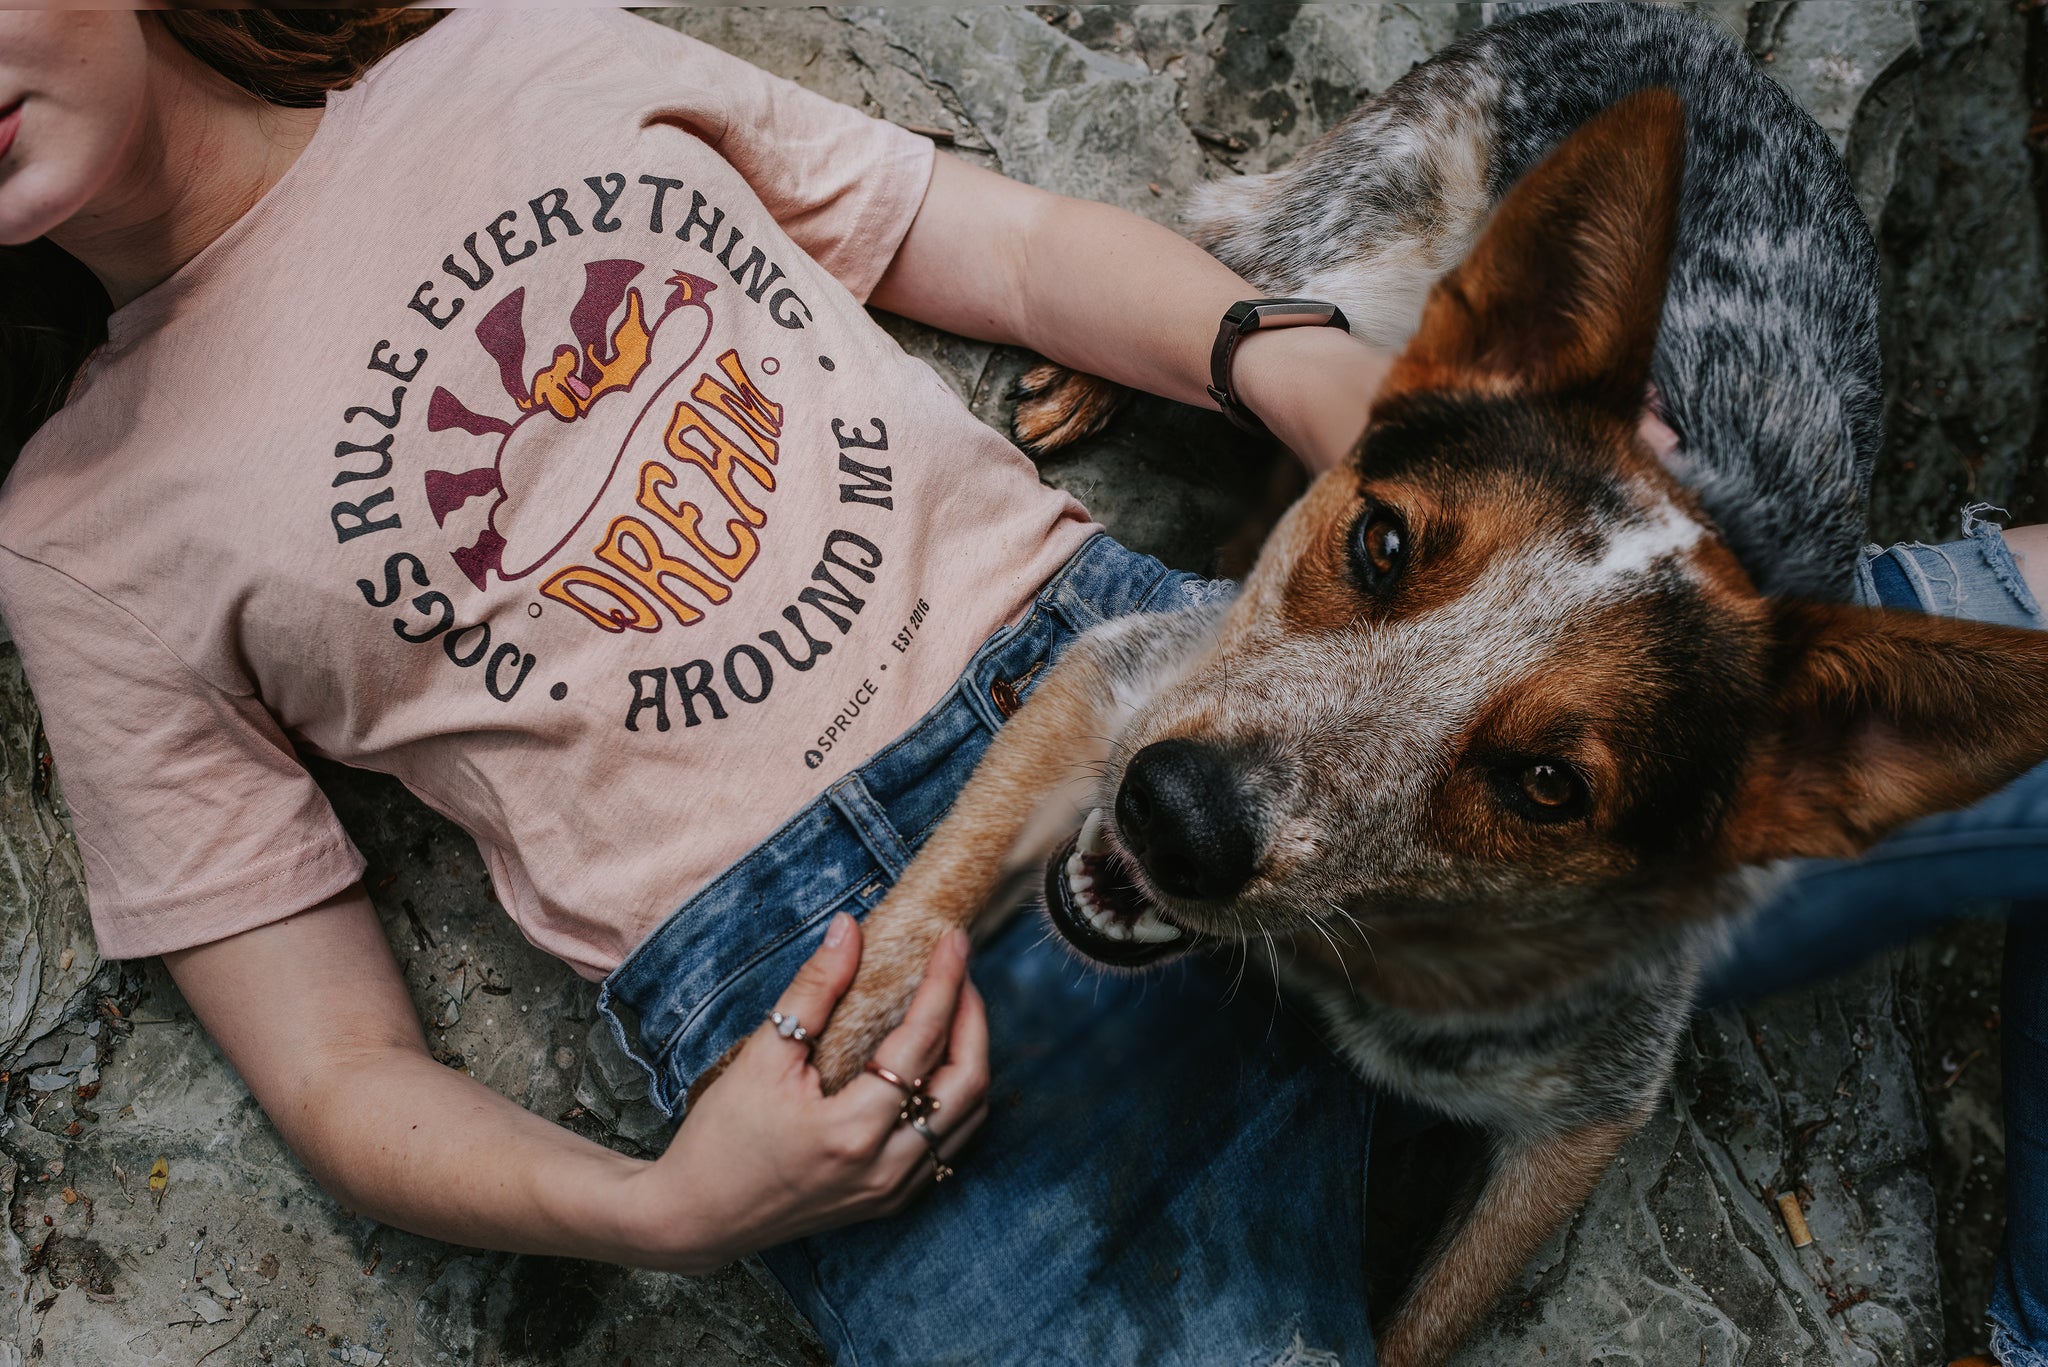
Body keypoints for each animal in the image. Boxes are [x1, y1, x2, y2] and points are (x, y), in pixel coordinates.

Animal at [802, 5, 2048, 1360]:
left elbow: (1426, 1319)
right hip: (1363, 241)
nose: (1173, 815)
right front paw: (831, 1064)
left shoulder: (1578, 1118)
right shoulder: (1125, 677)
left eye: (1550, 784)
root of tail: (1688, 34)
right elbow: (917, 911)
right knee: (1218, 250)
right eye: (1383, 543)